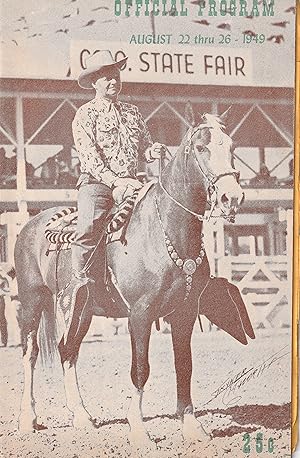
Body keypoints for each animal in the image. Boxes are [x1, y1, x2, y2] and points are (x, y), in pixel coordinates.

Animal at [14, 112, 245, 450]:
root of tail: (30, 224)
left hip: (81, 312)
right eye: (201, 147)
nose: (232, 197)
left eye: (231, 146)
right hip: (33, 301)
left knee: (67, 351)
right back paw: (27, 419)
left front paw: (191, 427)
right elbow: (140, 369)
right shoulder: (140, 314)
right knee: (29, 354)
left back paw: (82, 416)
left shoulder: (185, 312)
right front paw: (138, 430)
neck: (163, 231)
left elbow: (184, 365)